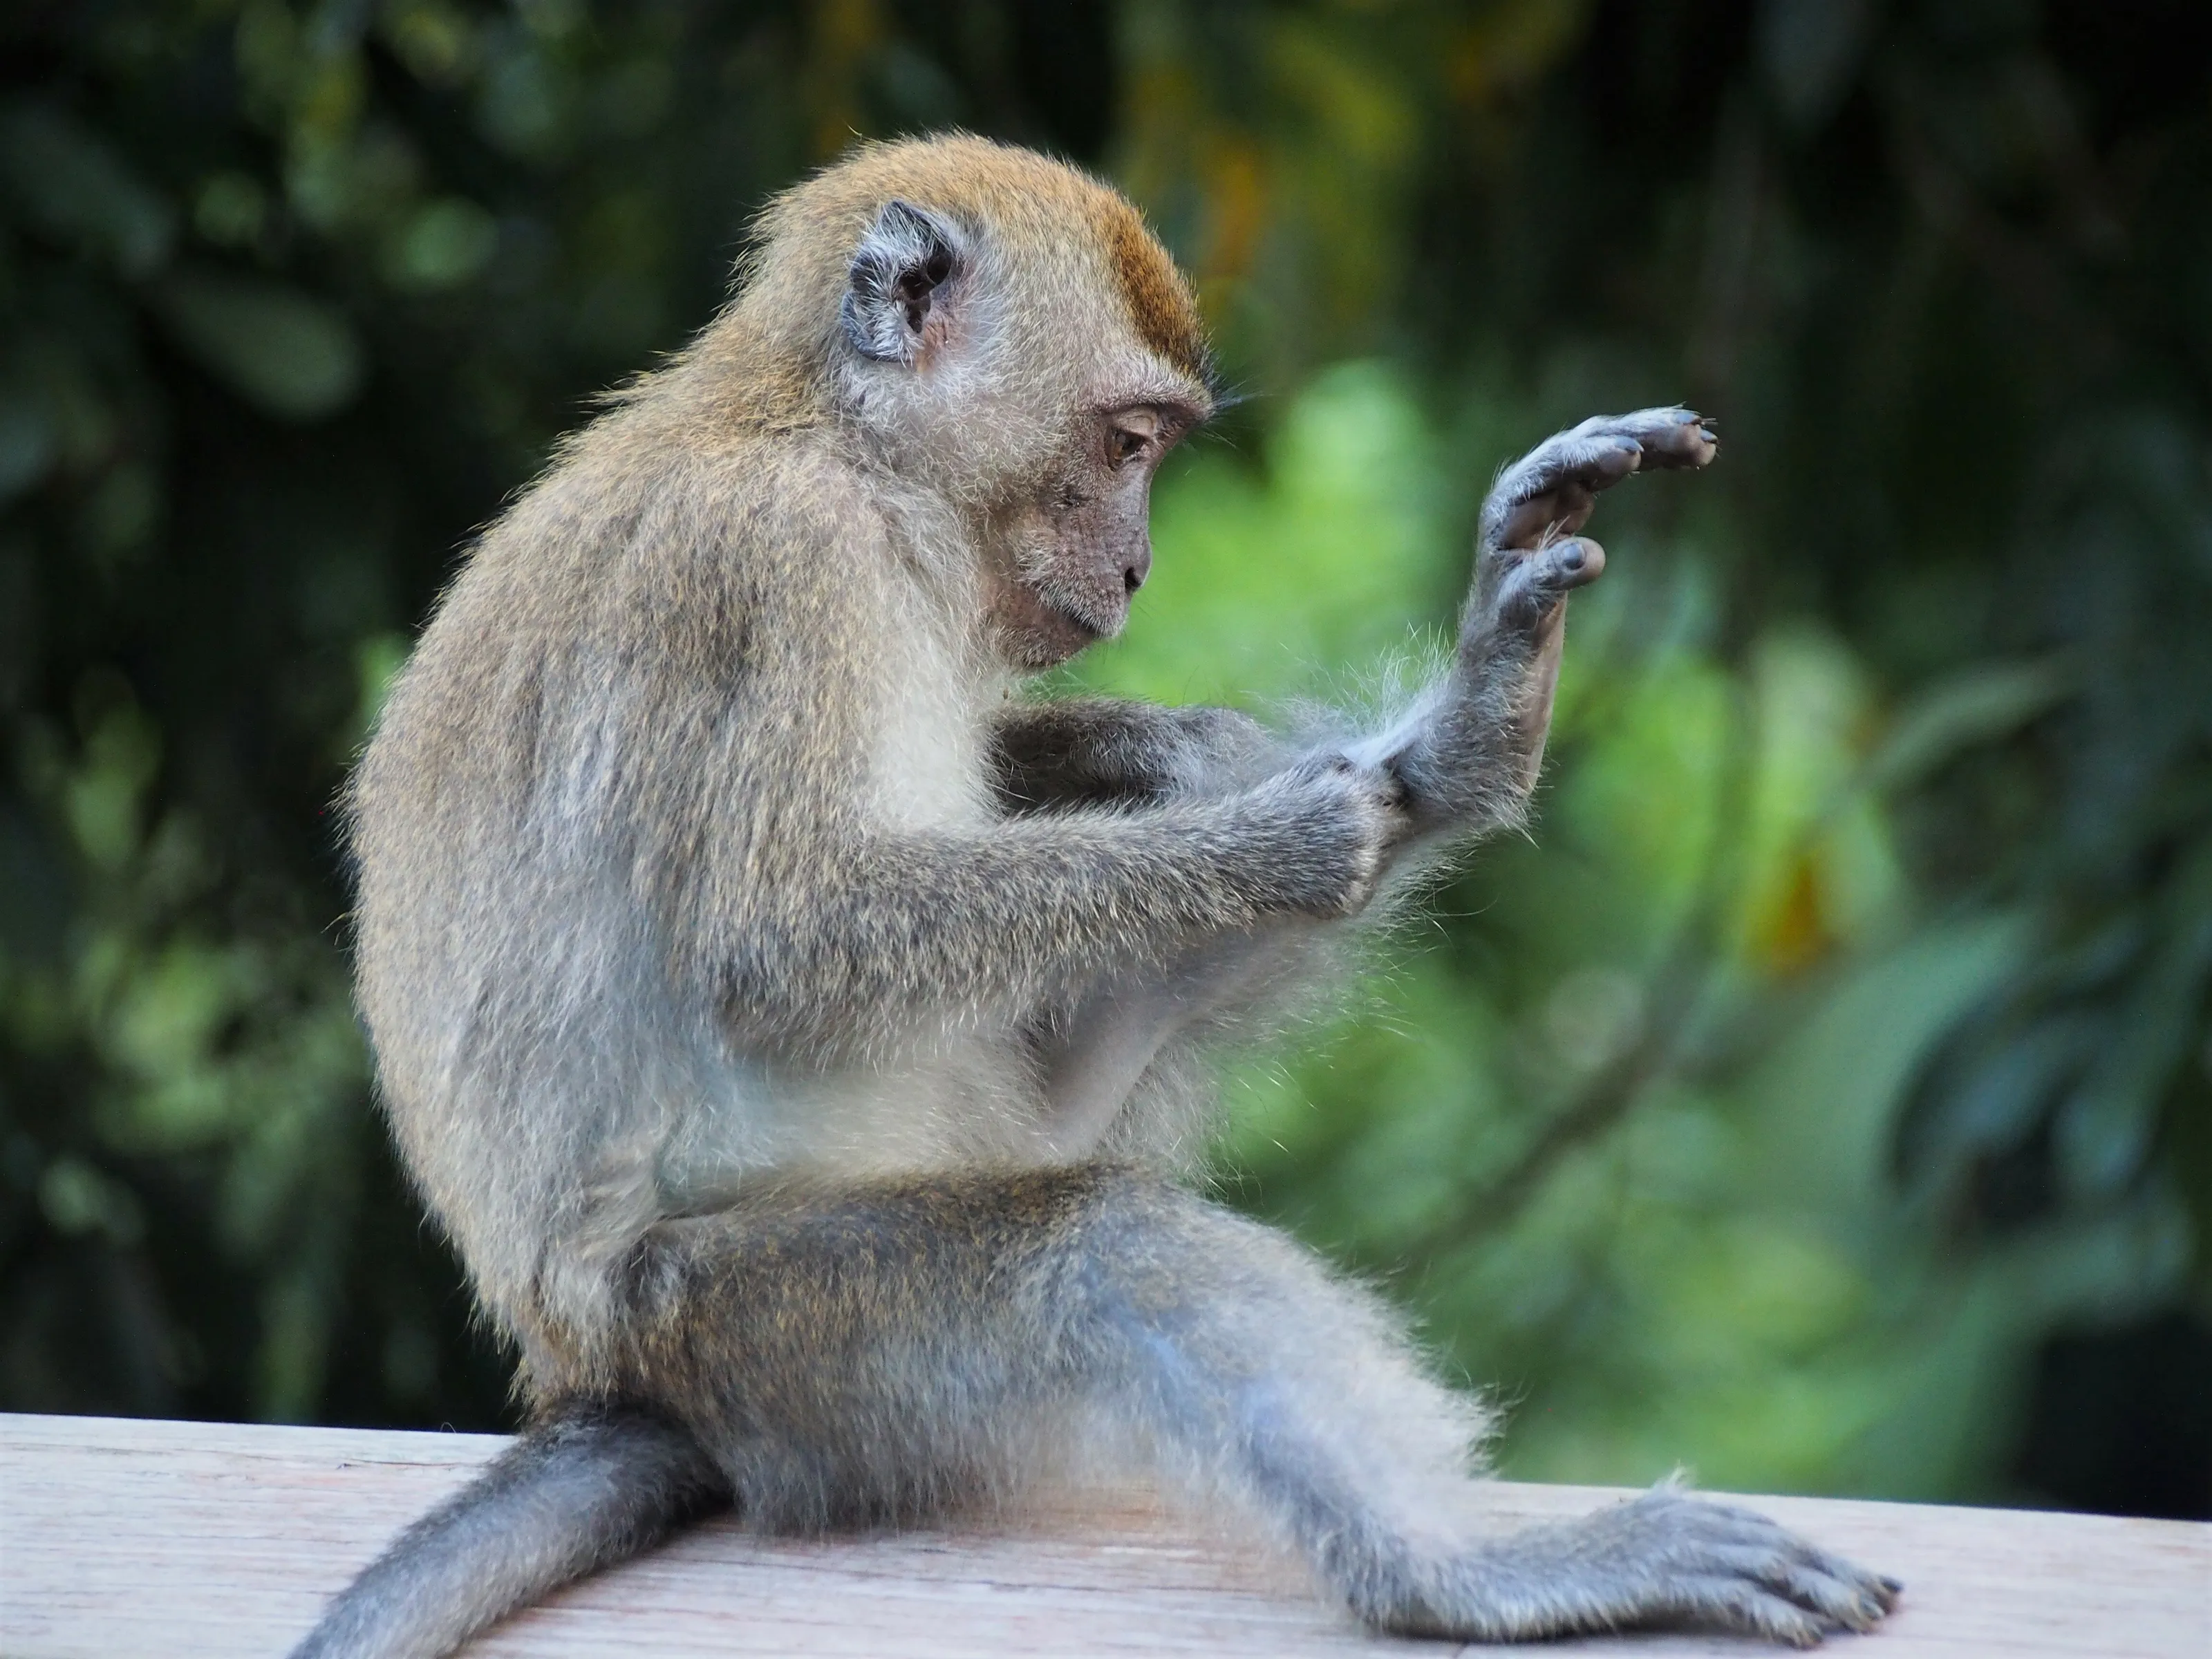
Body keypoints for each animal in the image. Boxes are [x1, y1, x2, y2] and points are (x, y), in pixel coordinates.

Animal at [298, 136, 1899, 1659]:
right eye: (1126, 440)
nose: (1135, 566)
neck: (844, 453)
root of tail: (591, 1368)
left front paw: (1210, 752)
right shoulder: (774, 568)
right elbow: (785, 942)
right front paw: (1272, 838)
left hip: (984, 1135)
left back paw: (1466, 745)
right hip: (764, 1332)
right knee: (1092, 1251)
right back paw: (1452, 1574)